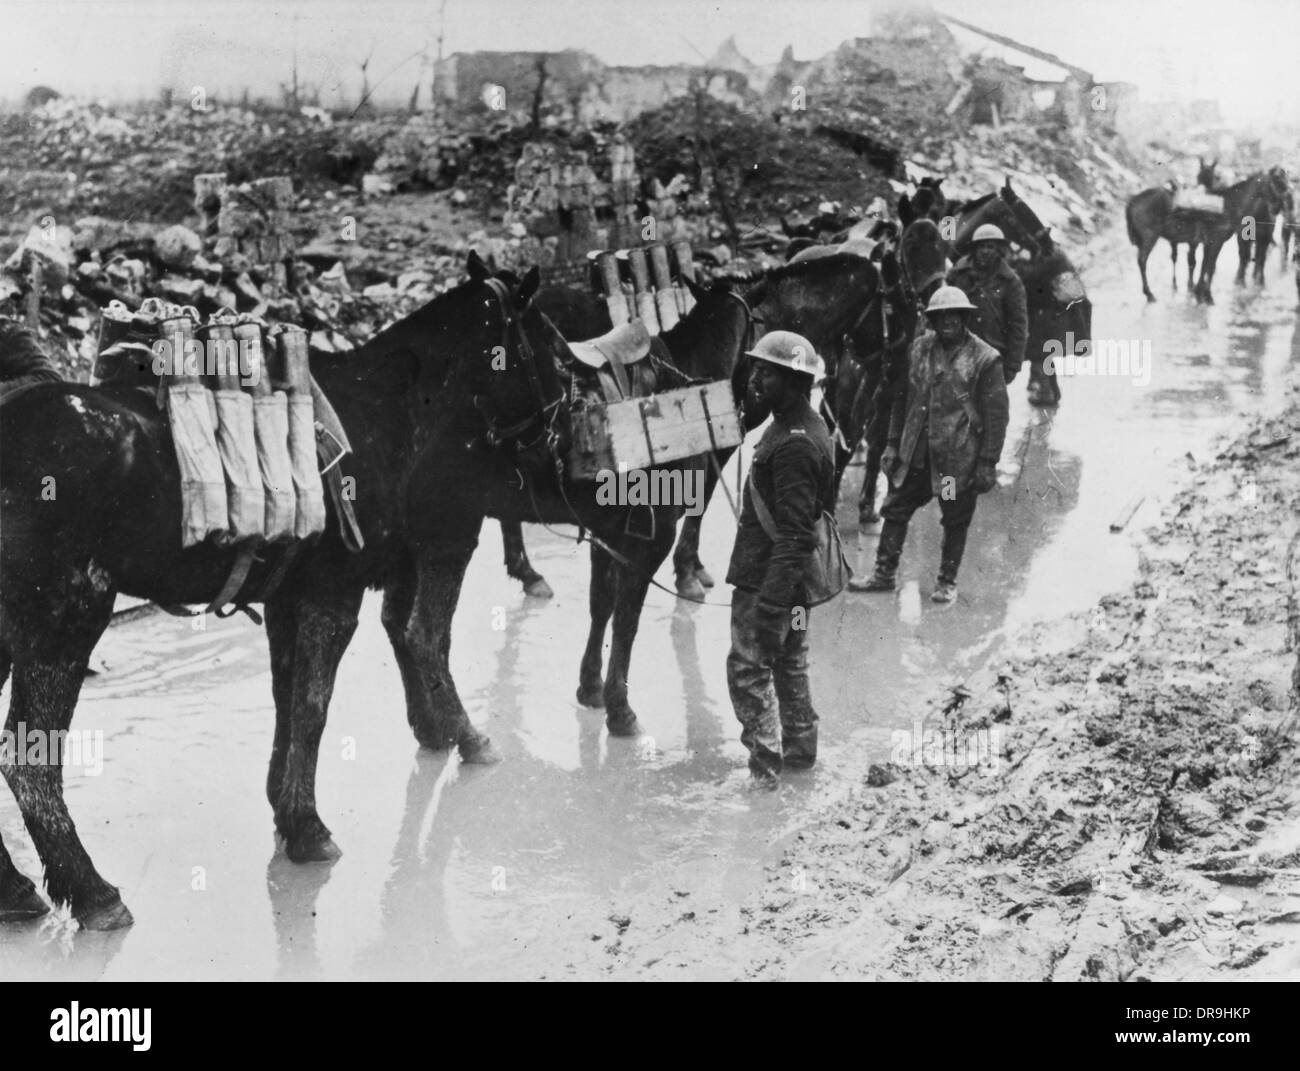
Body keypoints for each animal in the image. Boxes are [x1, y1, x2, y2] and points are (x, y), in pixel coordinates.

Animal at [0, 253, 553, 930]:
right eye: (540, 342)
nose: (553, 425)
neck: (382, 415)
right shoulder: (334, 597)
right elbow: (314, 709)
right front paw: (308, 829)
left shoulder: (290, 599)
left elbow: (287, 700)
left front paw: (285, 810)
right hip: (67, 618)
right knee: (29, 759)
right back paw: (92, 892)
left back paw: (15, 890)